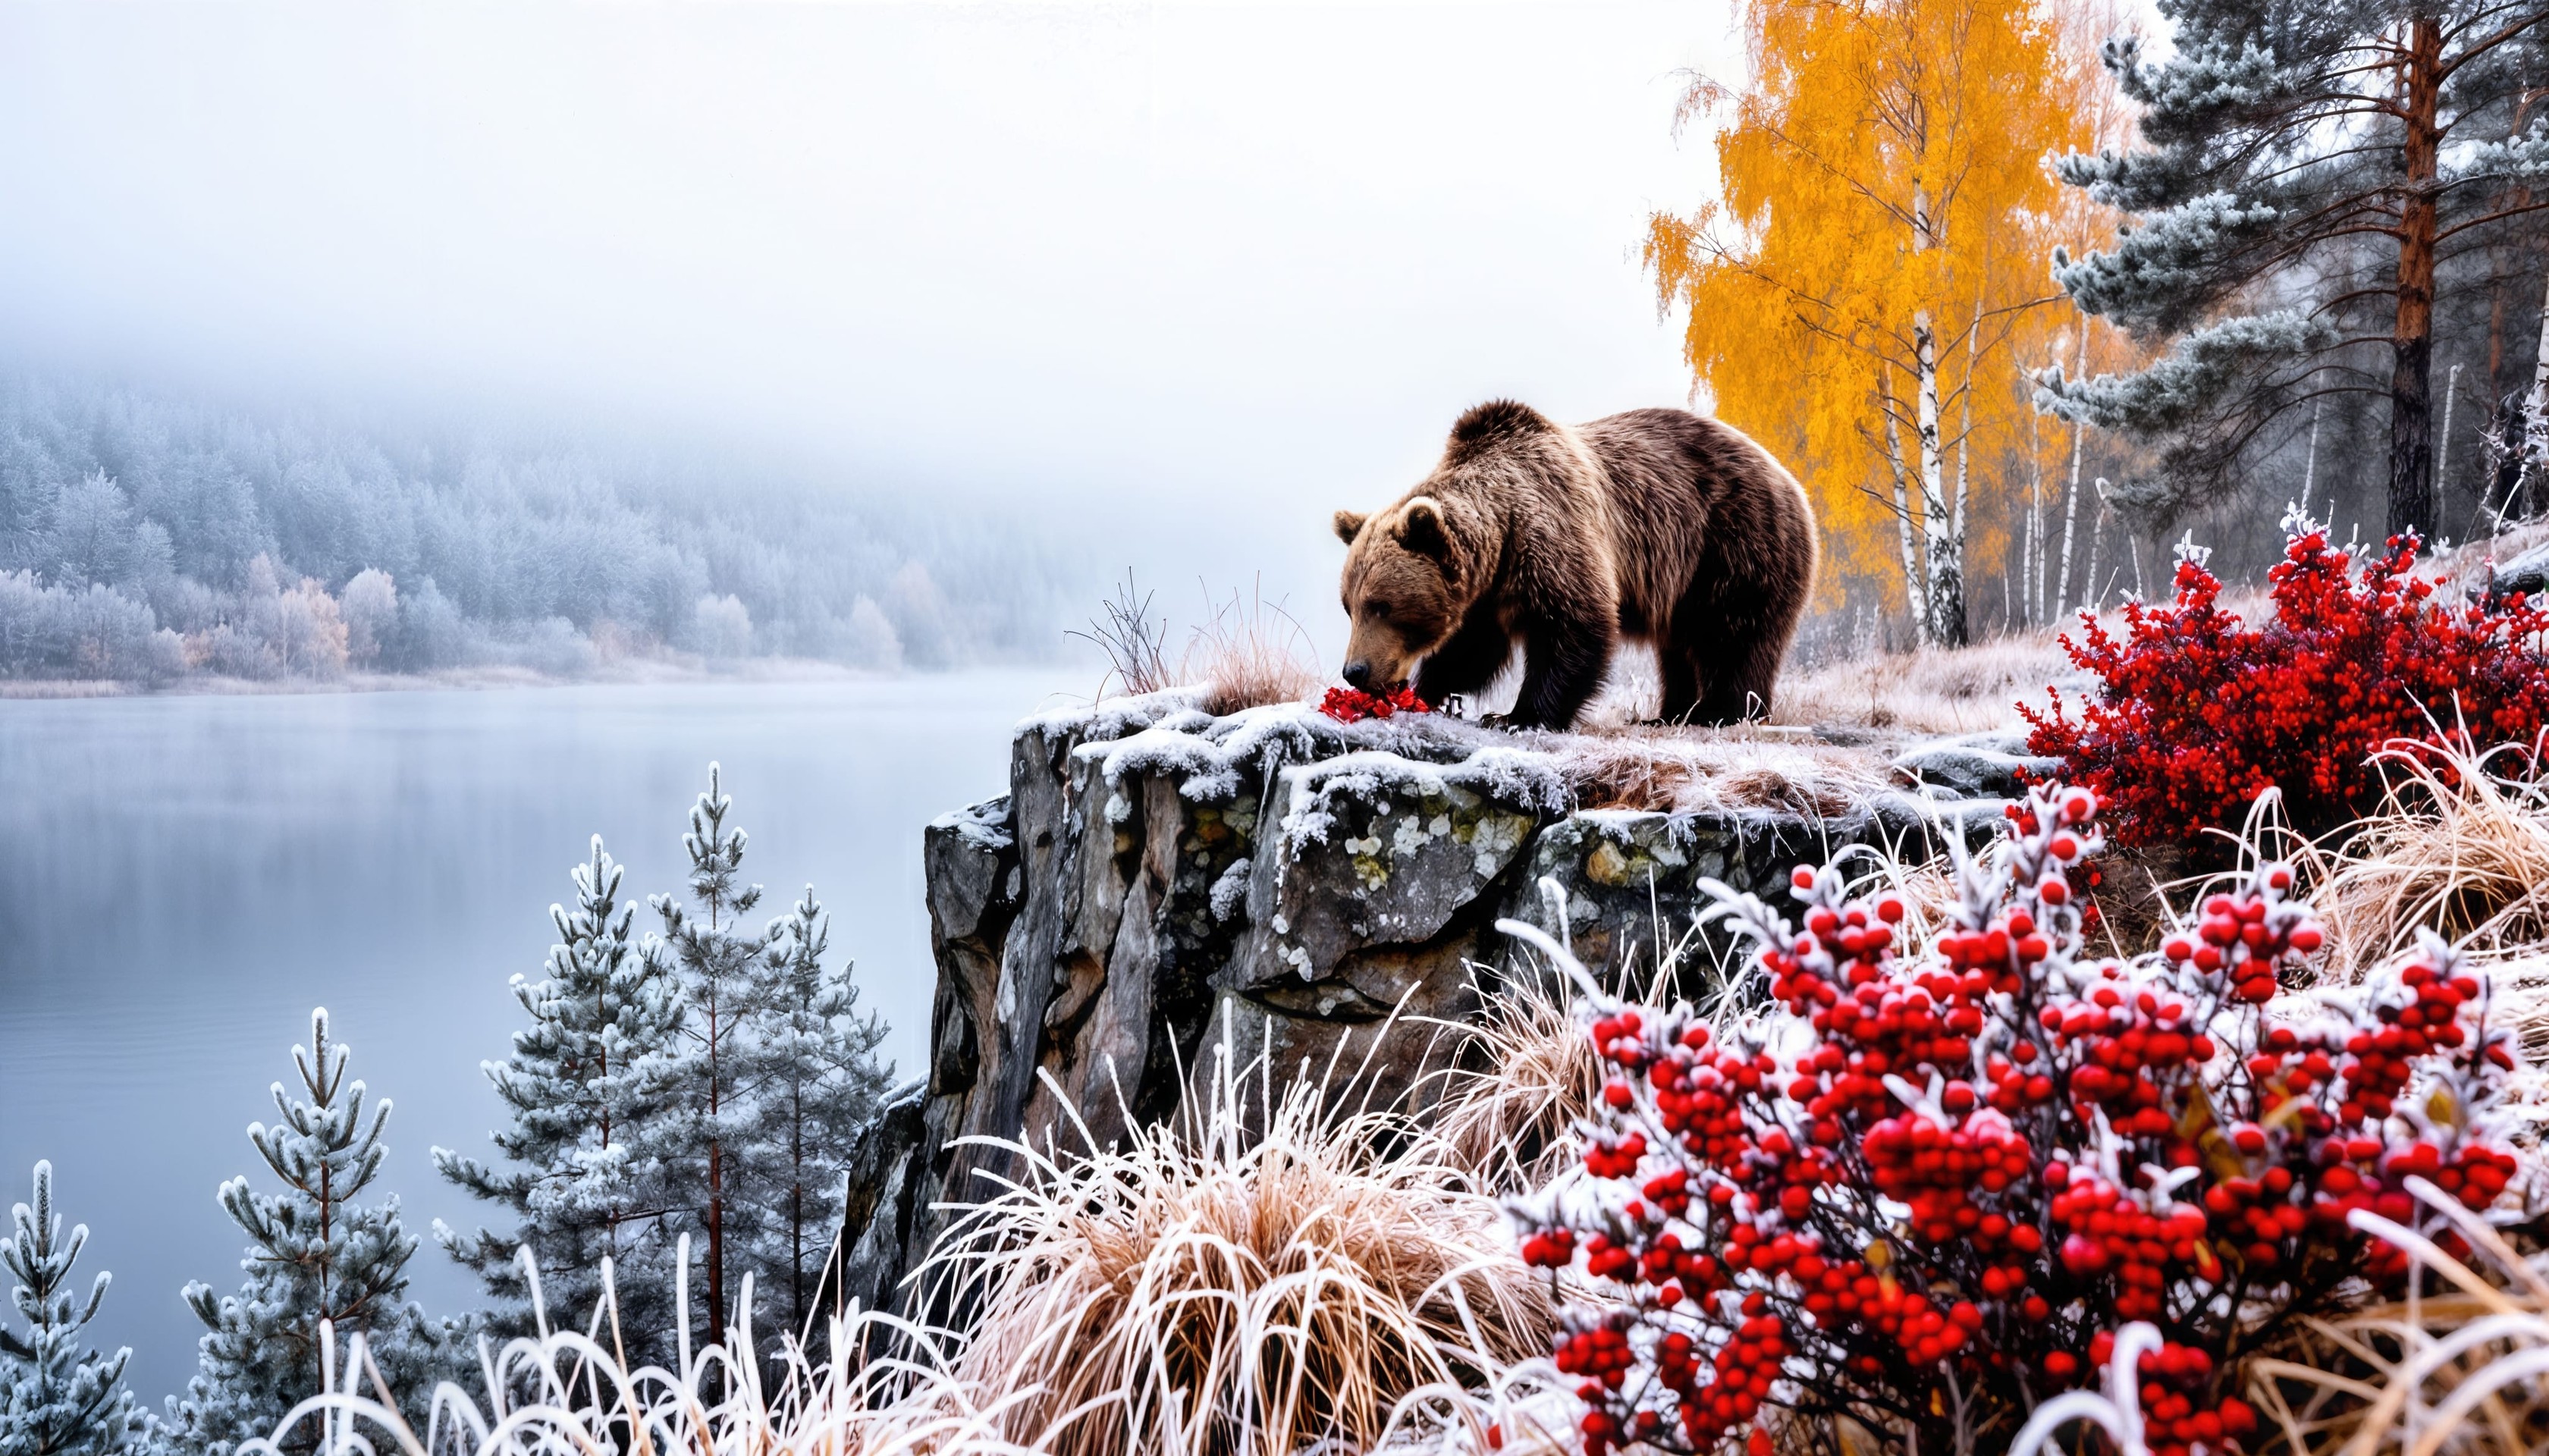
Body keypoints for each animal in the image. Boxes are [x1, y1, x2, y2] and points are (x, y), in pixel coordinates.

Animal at [1332, 399, 1816, 731]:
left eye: (1382, 605)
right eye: (1349, 607)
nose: (1355, 671)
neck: (1501, 536)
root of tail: (1790, 478)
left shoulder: (1550, 533)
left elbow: (1574, 626)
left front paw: (1515, 716)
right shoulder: (1484, 593)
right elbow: (1474, 649)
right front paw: (1427, 689)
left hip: (1734, 544)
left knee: (1734, 636)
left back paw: (1722, 712)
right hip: (1685, 583)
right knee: (1679, 648)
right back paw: (1671, 713)